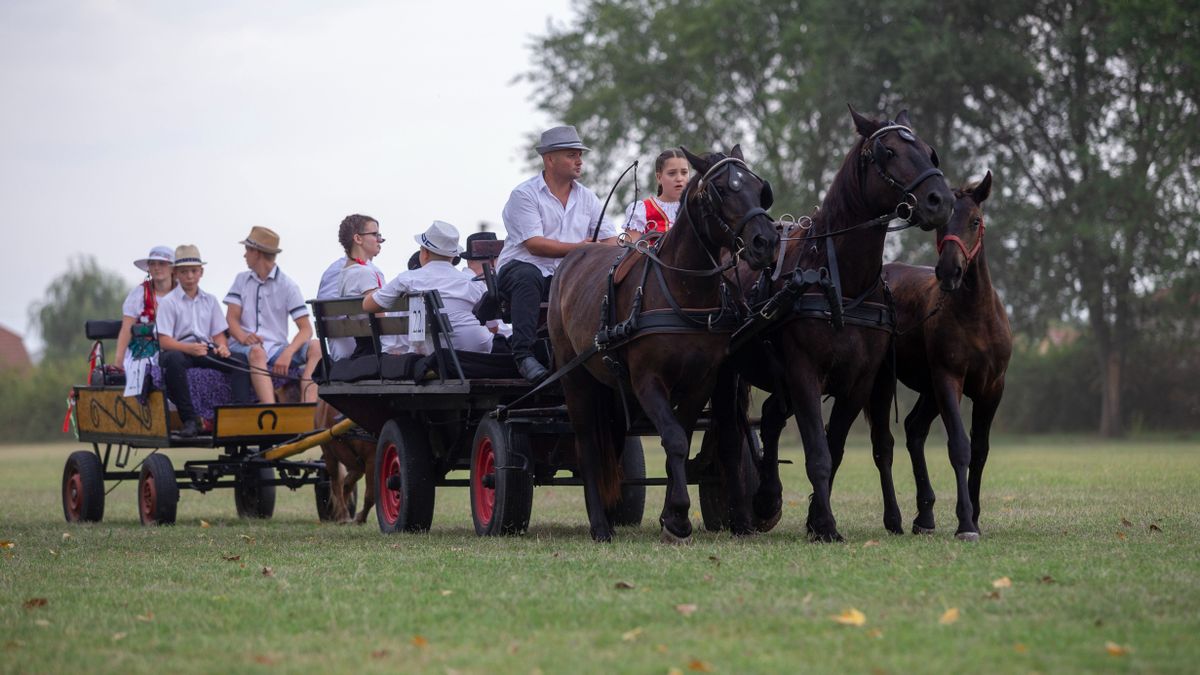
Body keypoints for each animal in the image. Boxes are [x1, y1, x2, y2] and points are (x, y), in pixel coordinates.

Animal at [549, 144, 782, 538]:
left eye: (757, 187)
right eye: (721, 189)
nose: (765, 242)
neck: (682, 291)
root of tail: (572, 259)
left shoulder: (701, 381)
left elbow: (682, 439)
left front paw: (674, 515)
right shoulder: (647, 380)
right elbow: (672, 437)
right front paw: (677, 516)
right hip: (575, 377)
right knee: (588, 446)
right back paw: (600, 525)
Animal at [864, 170, 1012, 538]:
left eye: (975, 221)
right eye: (941, 223)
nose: (949, 272)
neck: (976, 318)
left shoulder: (992, 389)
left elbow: (981, 449)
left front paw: (974, 516)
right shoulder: (948, 379)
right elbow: (959, 446)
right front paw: (965, 522)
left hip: (928, 390)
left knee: (914, 430)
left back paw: (925, 516)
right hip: (886, 383)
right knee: (883, 444)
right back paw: (895, 518)